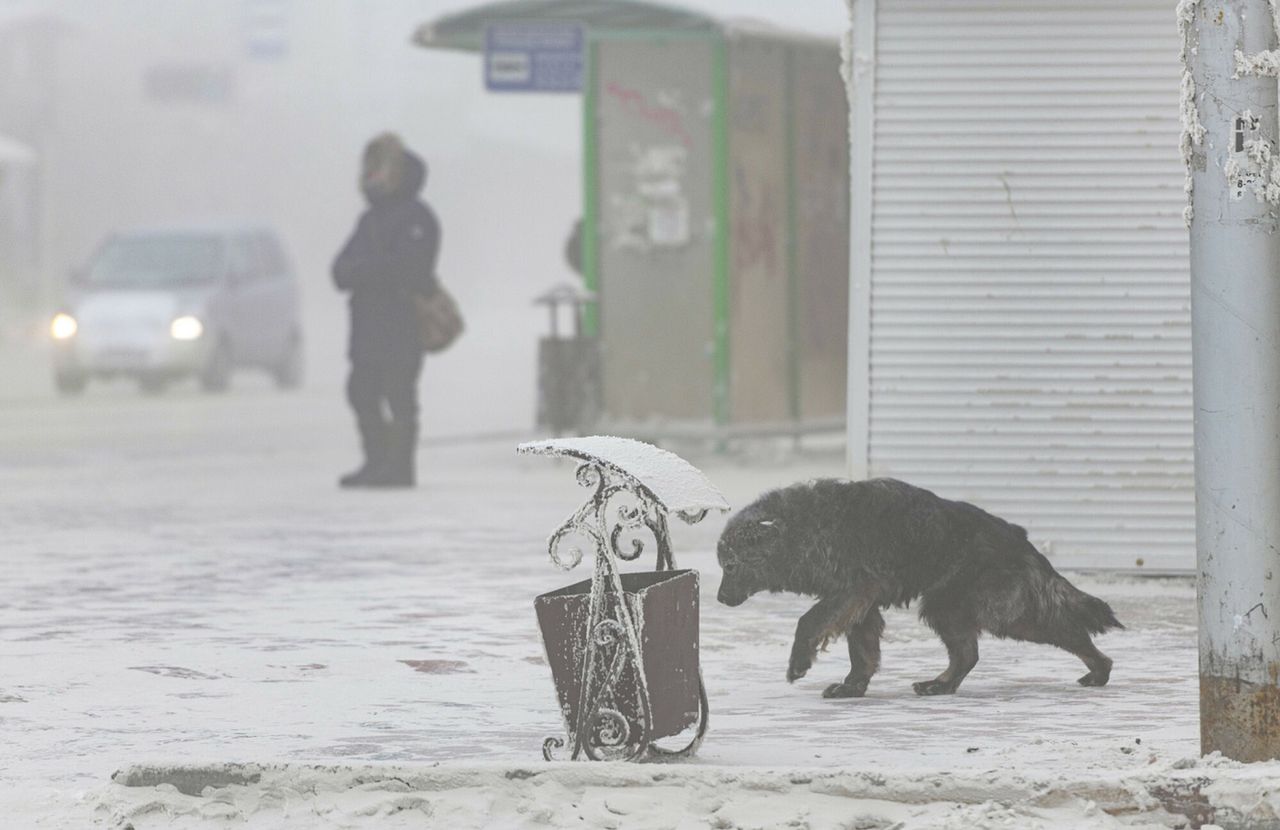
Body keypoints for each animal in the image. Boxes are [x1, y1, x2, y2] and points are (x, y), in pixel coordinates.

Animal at [716, 476, 1126, 696]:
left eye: (731, 566)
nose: (718, 599)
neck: (800, 528)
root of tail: (1017, 538)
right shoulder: (861, 604)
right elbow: (862, 653)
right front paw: (852, 687)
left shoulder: (850, 592)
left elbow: (808, 622)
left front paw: (799, 663)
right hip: (950, 607)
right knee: (967, 655)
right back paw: (940, 685)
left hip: (995, 613)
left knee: (1065, 632)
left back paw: (1100, 670)